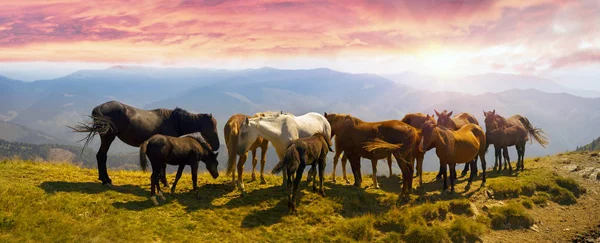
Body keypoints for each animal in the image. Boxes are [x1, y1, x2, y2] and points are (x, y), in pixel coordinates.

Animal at [69, 100, 220, 186]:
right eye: (212, 127)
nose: (217, 145)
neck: (174, 121)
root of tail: (100, 107)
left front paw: (160, 181)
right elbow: (163, 166)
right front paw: (164, 182)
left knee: (101, 156)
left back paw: (105, 179)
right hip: (108, 137)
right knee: (102, 156)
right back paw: (106, 180)